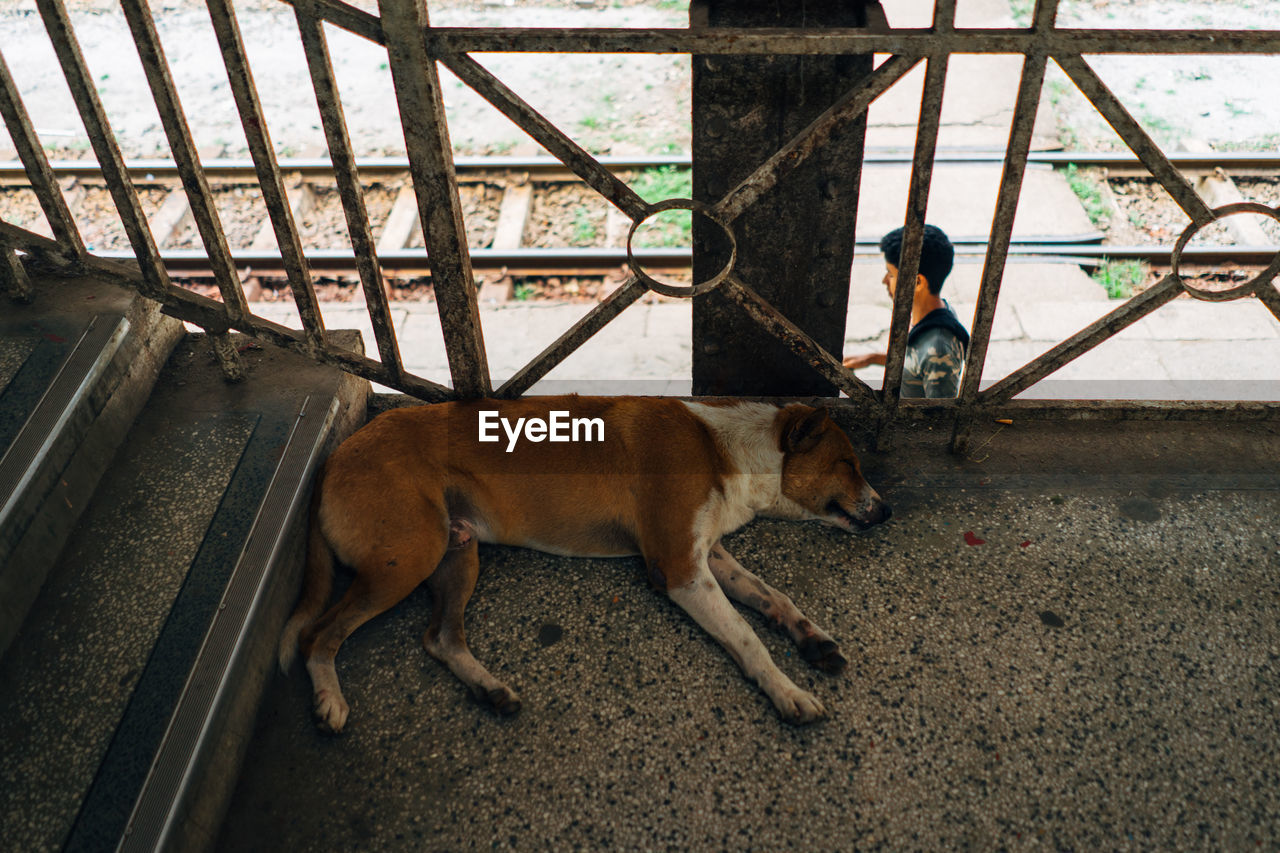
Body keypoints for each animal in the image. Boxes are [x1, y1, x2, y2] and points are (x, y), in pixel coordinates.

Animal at [280, 394, 890, 727]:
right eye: (848, 464)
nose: (887, 511)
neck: (726, 447)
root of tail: (333, 456)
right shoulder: (680, 569)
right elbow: (747, 637)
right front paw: (787, 691)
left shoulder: (706, 554)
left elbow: (772, 596)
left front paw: (811, 638)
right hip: (407, 556)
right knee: (317, 635)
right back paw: (329, 701)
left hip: (456, 550)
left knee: (440, 638)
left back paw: (490, 690)